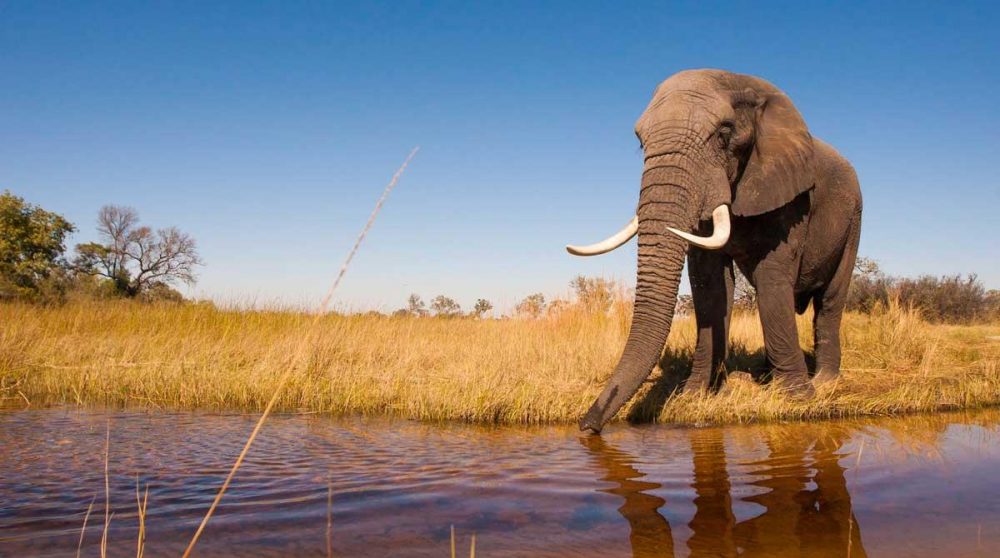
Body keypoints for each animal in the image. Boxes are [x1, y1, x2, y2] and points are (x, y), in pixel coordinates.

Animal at [567, 69, 863, 434]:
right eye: (640, 142)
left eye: (724, 133)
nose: (588, 426)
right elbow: (708, 282)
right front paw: (694, 397)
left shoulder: (790, 196)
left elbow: (772, 275)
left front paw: (797, 400)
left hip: (853, 220)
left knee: (831, 300)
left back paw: (824, 383)